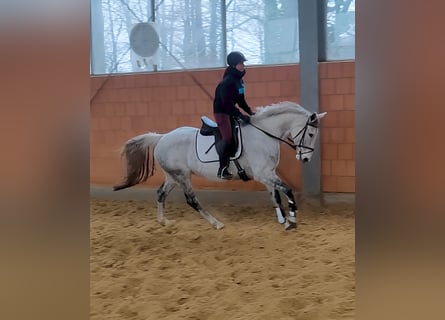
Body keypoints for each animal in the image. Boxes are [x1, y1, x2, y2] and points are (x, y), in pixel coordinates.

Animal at [112, 101, 324, 229]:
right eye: (311, 134)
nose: (305, 159)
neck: (263, 134)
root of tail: (162, 137)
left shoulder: (268, 174)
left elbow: (276, 196)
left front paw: (283, 221)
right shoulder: (263, 174)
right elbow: (287, 190)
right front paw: (293, 219)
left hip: (172, 176)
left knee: (161, 193)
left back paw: (164, 220)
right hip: (182, 176)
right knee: (191, 200)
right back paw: (216, 223)